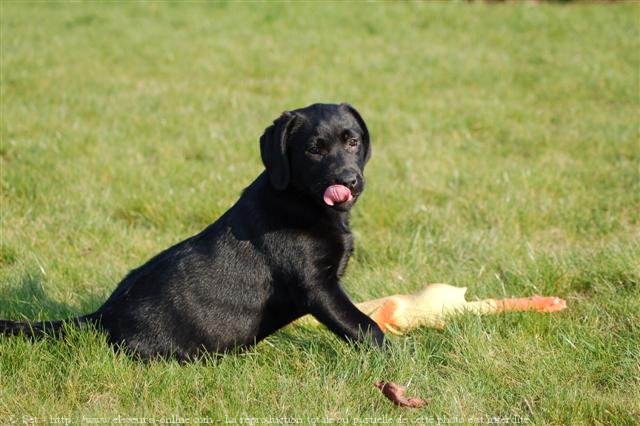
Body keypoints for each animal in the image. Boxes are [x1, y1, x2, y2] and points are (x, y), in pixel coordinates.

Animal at [1, 102, 384, 360]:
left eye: (352, 141)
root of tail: (102, 316)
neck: (299, 198)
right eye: (313, 150)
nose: (349, 180)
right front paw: (392, 361)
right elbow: (366, 327)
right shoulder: (317, 287)